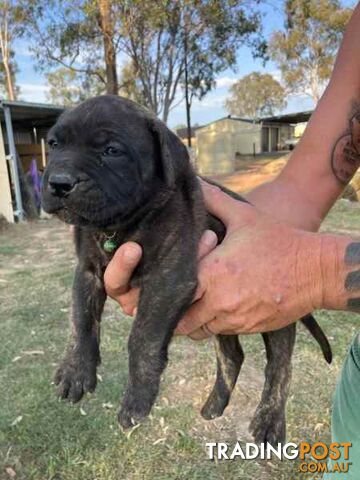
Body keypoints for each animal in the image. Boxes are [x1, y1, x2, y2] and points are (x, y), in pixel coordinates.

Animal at [40, 95, 332, 444]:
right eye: (54, 144)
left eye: (111, 150)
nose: (59, 182)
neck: (118, 227)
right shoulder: (87, 272)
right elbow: (81, 320)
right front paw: (75, 370)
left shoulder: (167, 278)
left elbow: (142, 338)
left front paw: (137, 398)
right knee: (232, 356)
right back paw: (215, 405)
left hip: (277, 316)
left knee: (279, 367)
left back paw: (269, 420)